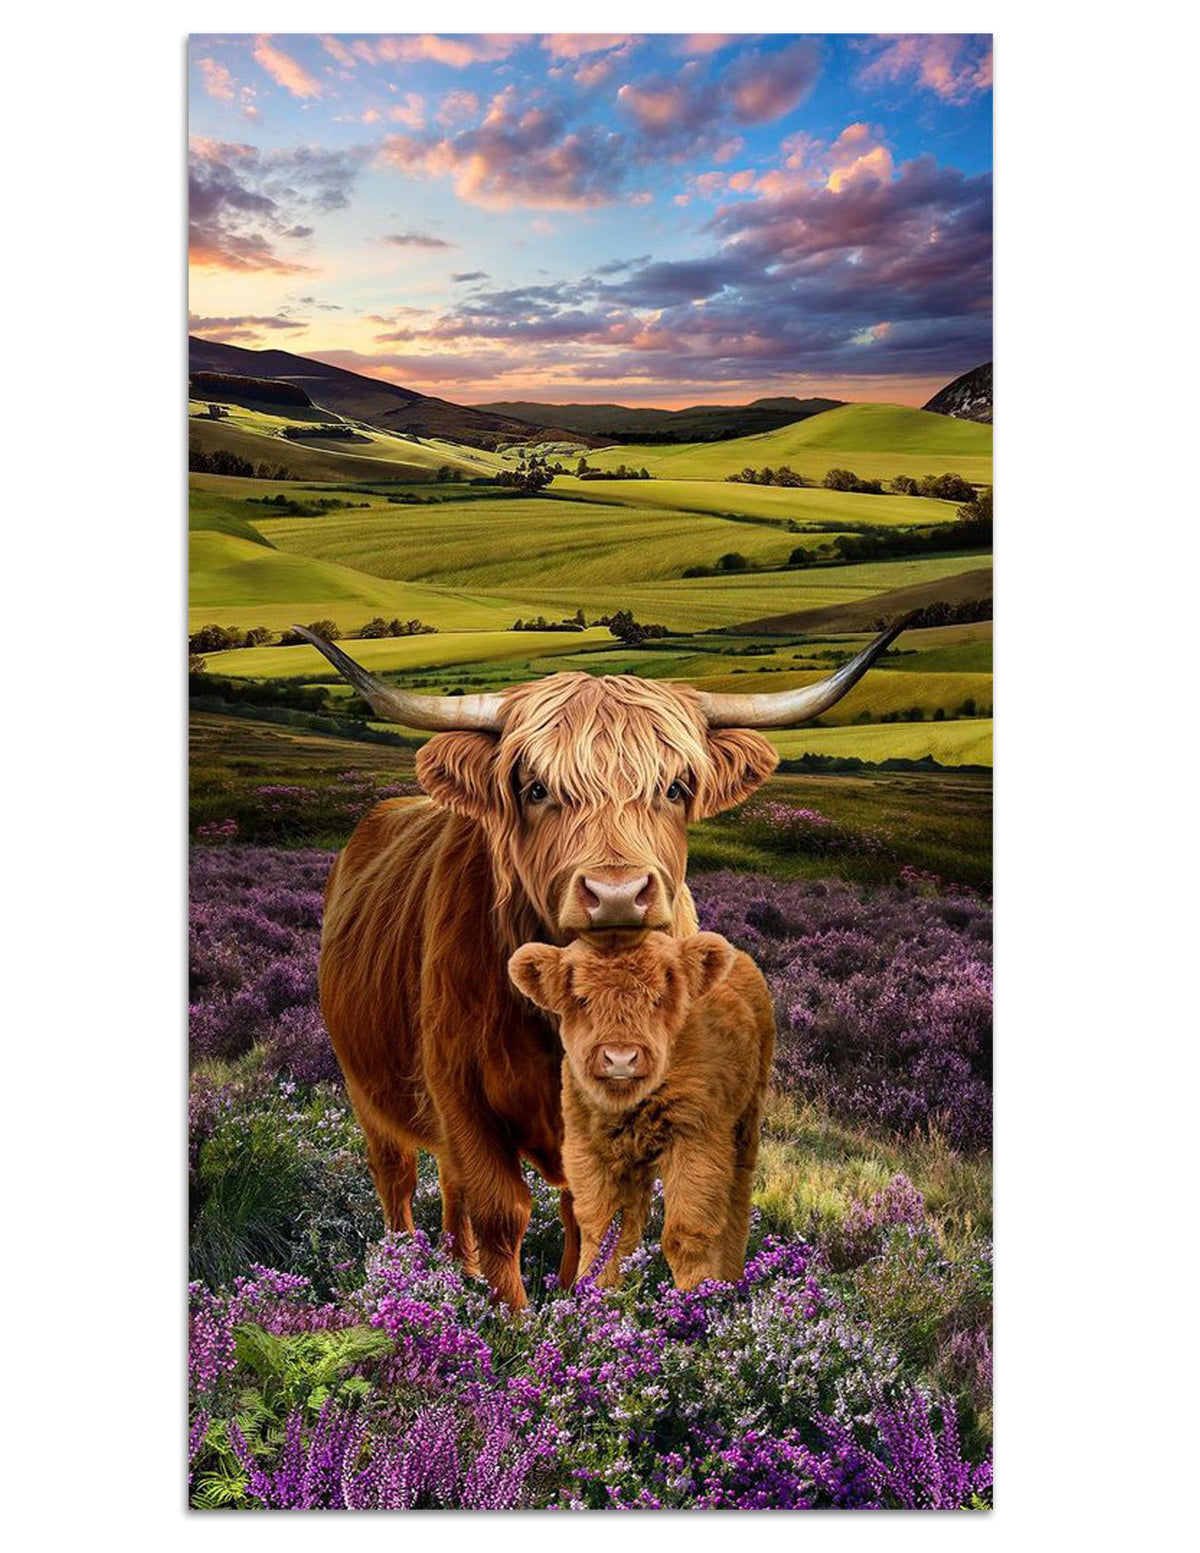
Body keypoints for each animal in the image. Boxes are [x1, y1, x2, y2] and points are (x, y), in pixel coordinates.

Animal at [508, 929, 775, 1291]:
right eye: (582, 1000)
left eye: (658, 999)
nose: (620, 1058)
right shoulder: (589, 1148)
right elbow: (604, 1229)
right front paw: (595, 1291)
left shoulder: (697, 1144)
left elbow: (686, 1233)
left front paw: (698, 1295)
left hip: (744, 1129)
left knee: (737, 1203)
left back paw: (732, 1282)